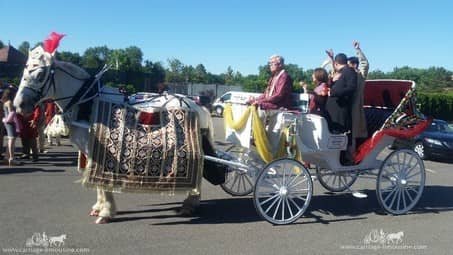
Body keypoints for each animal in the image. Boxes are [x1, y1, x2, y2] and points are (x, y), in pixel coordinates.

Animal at [13, 41, 213, 223]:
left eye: (40, 74)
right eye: (24, 72)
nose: (19, 105)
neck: (88, 103)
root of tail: (195, 104)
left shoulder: (100, 151)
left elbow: (103, 184)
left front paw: (106, 212)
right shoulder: (93, 152)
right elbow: (98, 183)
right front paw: (99, 207)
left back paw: (189, 204)